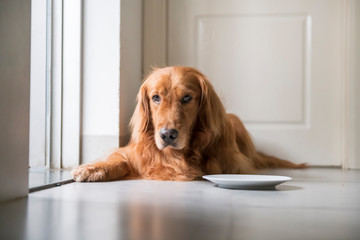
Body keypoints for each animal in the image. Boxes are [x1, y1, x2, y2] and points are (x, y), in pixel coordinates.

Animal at [73, 66, 306, 181]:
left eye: (187, 98)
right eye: (155, 97)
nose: (167, 135)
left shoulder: (235, 161)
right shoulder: (137, 152)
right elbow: (119, 159)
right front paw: (93, 169)